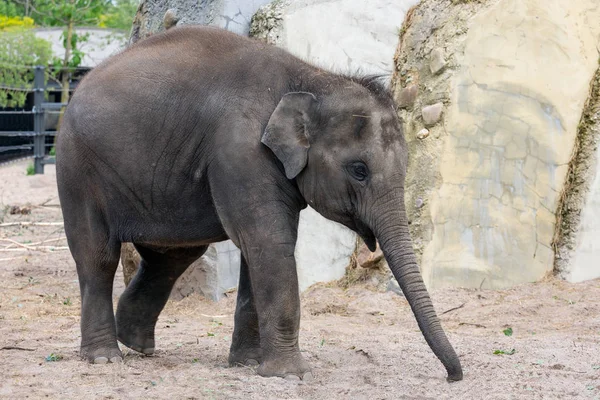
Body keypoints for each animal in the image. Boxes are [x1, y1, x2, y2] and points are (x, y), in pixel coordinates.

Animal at [56, 25, 464, 382]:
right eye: (359, 170)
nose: (453, 377)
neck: (311, 78)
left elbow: (260, 250)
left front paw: (249, 364)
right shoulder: (242, 152)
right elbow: (269, 243)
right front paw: (290, 375)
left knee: (171, 257)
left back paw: (137, 345)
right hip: (77, 167)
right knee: (98, 256)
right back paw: (105, 358)